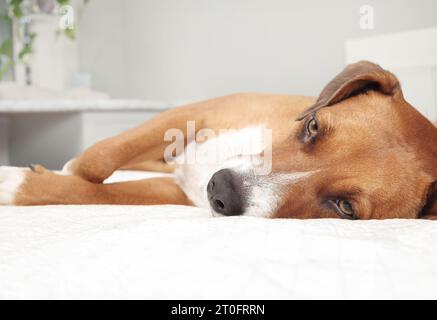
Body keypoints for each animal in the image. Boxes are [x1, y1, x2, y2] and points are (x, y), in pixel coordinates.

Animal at [0, 61, 436, 219]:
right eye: (313, 127)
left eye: (345, 208)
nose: (221, 189)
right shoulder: (198, 110)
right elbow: (101, 158)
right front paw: (67, 165)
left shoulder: (174, 192)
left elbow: (88, 191)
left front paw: (18, 182)